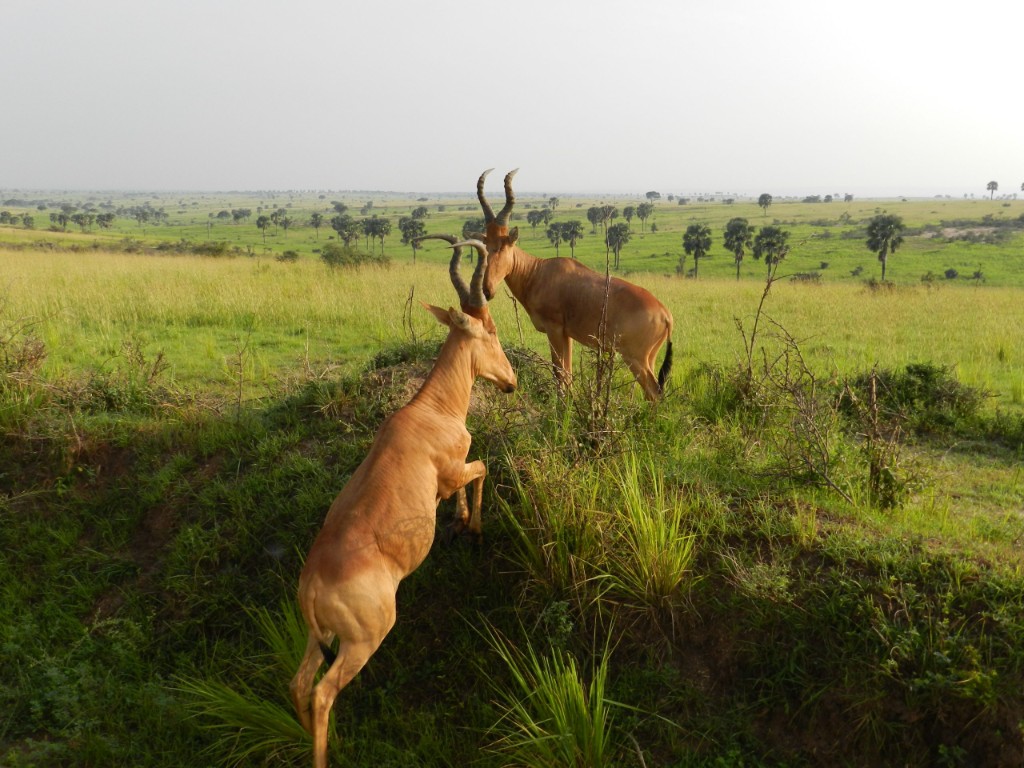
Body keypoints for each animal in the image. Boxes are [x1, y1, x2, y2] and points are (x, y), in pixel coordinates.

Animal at [290, 240, 516, 768]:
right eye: (492, 331)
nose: (511, 381)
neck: (428, 411)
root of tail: (313, 586)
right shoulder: (454, 469)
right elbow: (481, 471)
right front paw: (473, 528)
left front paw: (459, 522)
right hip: (363, 640)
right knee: (323, 692)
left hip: (317, 637)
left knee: (298, 683)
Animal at [475, 169, 673, 401]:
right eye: (485, 246)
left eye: (503, 246)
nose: (486, 290)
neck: (538, 271)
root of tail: (665, 314)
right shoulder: (566, 333)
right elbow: (567, 374)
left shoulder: (554, 329)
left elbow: (559, 372)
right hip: (649, 357)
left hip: (635, 358)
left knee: (654, 392)